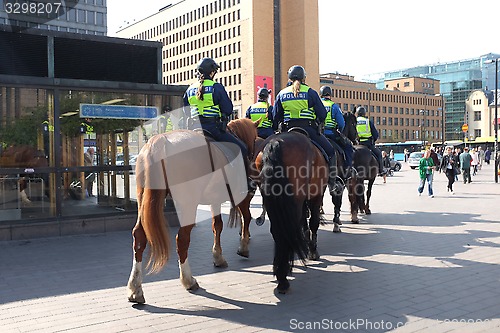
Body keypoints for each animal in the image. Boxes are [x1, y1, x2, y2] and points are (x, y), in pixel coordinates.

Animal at [126, 118, 258, 302]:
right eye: (254, 139)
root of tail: (160, 141)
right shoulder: (242, 197)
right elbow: (246, 217)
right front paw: (243, 246)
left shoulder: (215, 200)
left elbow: (217, 226)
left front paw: (218, 256)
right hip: (188, 203)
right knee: (182, 239)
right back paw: (188, 280)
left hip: (142, 200)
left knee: (139, 236)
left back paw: (135, 288)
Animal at [254, 131, 328, 292]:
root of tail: (275, 143)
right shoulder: (317, 194)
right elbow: (313, 223)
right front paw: (312, 250)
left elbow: (304, 223)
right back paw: (284, 276)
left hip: (272, 201)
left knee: (278, 231)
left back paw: (280, 274)